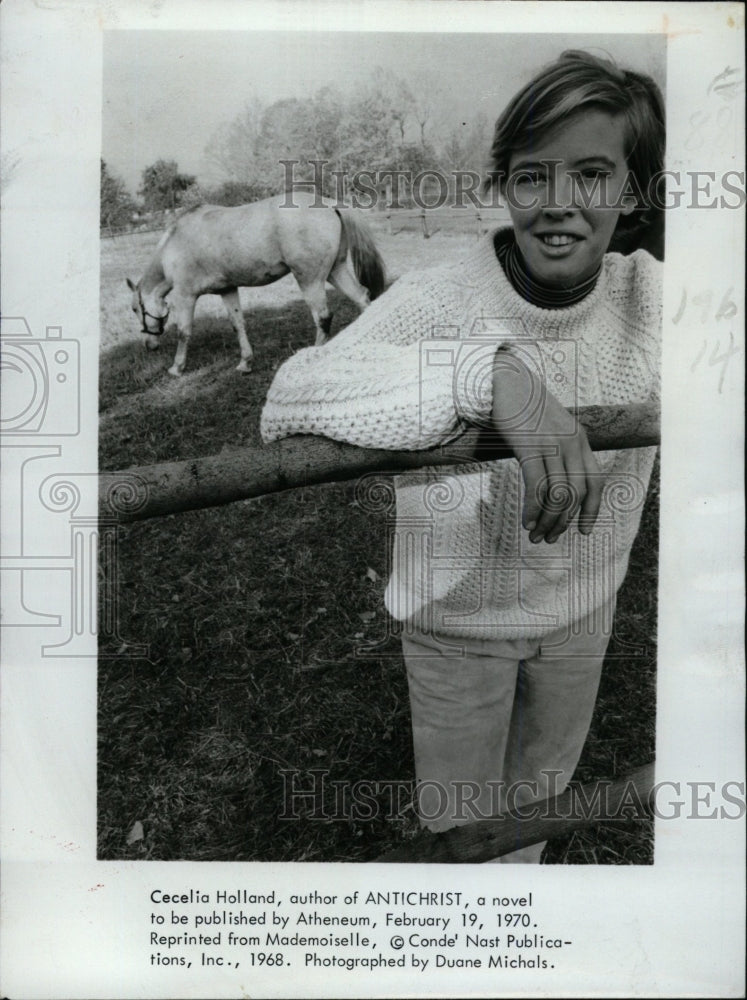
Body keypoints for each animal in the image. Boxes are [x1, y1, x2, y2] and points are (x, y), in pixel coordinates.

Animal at [126, 190, 386, 376]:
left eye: (135, 308)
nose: (149, 345)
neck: (177, 243)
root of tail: (329, 203)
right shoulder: (228, 290)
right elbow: (238, 325)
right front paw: (246, 362)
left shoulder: (185, 296)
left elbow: (184, 332)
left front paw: (177, 367)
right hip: (335, 271)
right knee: (362, 298)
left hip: (309, 279)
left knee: (322, 317)